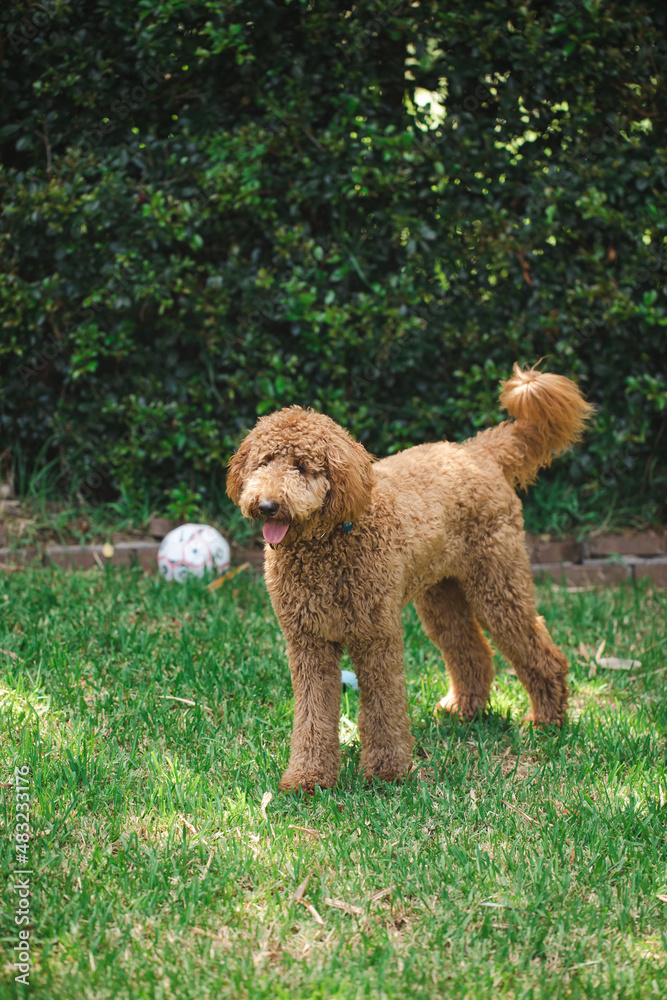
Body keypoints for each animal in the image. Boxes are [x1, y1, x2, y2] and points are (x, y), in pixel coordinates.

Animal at [227, 364, 592, 792]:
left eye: (302, 466)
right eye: (263, 462)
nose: (267, 505)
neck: (326, 544)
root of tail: (475, 451)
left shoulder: (376, 637)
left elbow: (383, 707)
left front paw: (386, 774)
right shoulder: (308, 644)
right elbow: (312, 714)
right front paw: (308, 778)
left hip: (498, 584)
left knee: (539, 651)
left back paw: (547, 720)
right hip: (441, 595)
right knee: (470, 649)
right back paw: (464, 710)